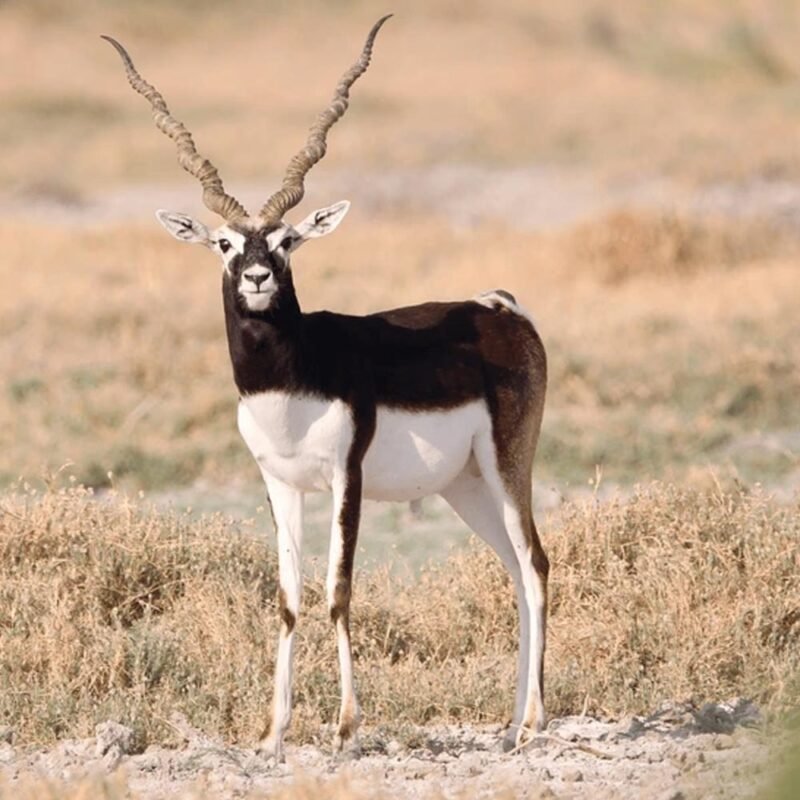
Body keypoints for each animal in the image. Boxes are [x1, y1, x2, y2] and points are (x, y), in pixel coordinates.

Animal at [103, 15, 549, 761]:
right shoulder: (279, 483)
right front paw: (272, 734)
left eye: (286, 241)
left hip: (508, 464)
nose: (258, 278)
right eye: (224, 243)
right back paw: (512, 726)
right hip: (465, 485)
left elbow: (339, 593)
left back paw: (537, 722)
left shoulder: (348, 477)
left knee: (536, 563)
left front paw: (345, 727)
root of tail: (498, 306)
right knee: (513, 571)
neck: (293, 383)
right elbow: (289, 601)